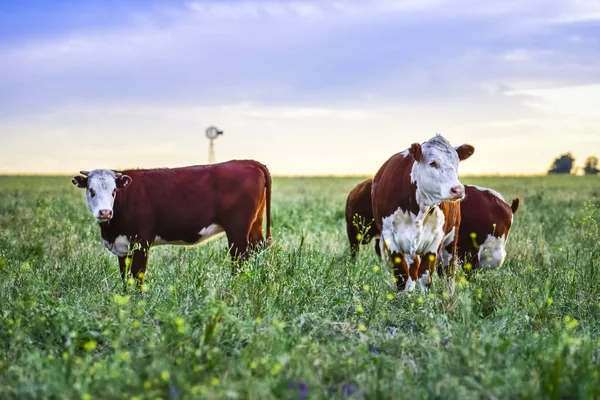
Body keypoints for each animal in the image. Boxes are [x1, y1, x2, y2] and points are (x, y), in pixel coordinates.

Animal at [71, 159, 274, 288]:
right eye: (91, 190)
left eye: (114, 191)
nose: (105, 212)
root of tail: (248, 161)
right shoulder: (123, 247)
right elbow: (125, 277)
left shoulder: (141, 242)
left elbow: (137, 276)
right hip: (255, 224)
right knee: (258, 249)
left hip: (237, 229)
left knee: (240, 259)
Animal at [370, 134, 474, 290]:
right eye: (433, 163)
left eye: (456, 163)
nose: (458, 190)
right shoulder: (389, 236)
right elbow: (401, 274)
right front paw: (404, 296)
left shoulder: (437, 238)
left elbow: (425, 276)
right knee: (412, 270)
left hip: (451, 238)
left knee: (449, 270)